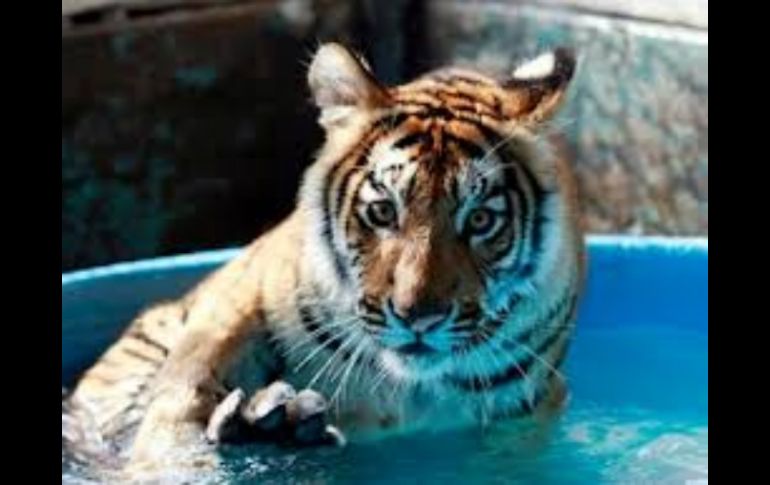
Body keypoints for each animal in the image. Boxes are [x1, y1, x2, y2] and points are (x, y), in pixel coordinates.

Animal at [62, 42, 585, 480]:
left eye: (479, 220)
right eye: (383, 211)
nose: (418, 318)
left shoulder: (527, 414)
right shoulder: (232, 304)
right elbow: (183, 400)